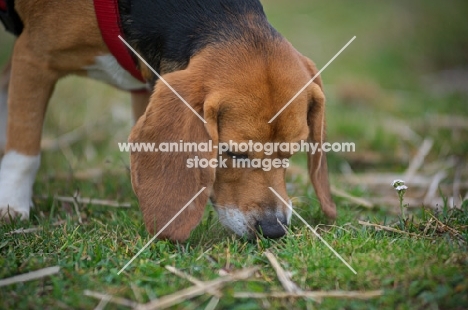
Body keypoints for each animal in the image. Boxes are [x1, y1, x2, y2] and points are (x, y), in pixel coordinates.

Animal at [0, 0, 336, 241]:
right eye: (231, 153)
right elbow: (24, 147)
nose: (273, 230)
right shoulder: (32, 56)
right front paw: (12, 205)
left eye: (291, 153)